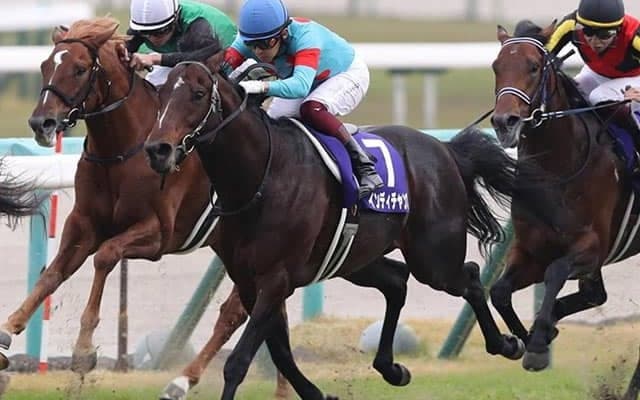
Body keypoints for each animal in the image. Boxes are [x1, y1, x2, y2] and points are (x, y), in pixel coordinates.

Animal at [9, 16, 293, 400]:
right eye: (44, 65)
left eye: (80, 69)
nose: (42, 124)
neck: (122, 149)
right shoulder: (83, 223)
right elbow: (52, 274)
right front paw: (7, 331)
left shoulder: (158, 233)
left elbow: (106, 256)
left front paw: (83, 352)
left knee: (237, 312)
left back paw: (187, 381)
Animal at [142, 38, 553, 398]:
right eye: (160, 95)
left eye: (197, 94)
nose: (157, 149)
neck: (261, 175)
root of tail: (445, 149)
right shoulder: (249, 279)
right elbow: (280, 353)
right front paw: (316, 393)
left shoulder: (276, 278)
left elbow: (240, 361)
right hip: (354, 258)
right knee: (397, 281)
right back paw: (392, 367)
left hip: (433, 258)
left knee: (467, 277)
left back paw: (509, 344)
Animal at [490, 19, 640, 384]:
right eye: (496, 67)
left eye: (533, 66)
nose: (504, 122)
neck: (556, 169)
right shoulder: (530, 249)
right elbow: (499, 291)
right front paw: (530, 338)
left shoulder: (591, 246)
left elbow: (556, 271)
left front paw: (539, 343)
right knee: (595, 294)